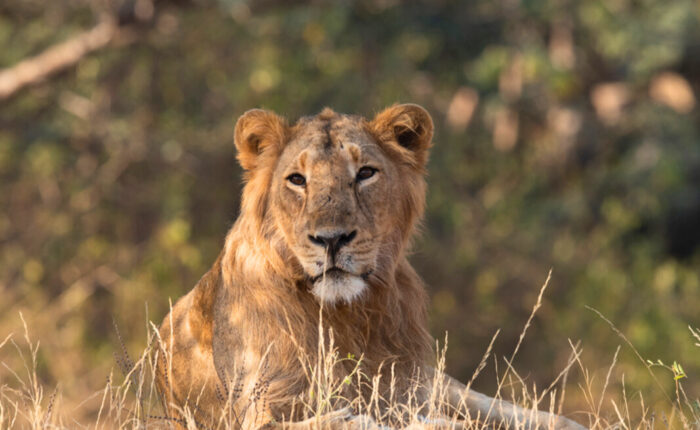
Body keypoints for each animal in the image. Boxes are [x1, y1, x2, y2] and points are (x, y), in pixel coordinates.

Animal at [154, 105, 584, 430]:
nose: (331, 239)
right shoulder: (256, 405)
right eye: (297, 179)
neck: (347, 315)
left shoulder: (407, 385)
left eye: (365, 173)